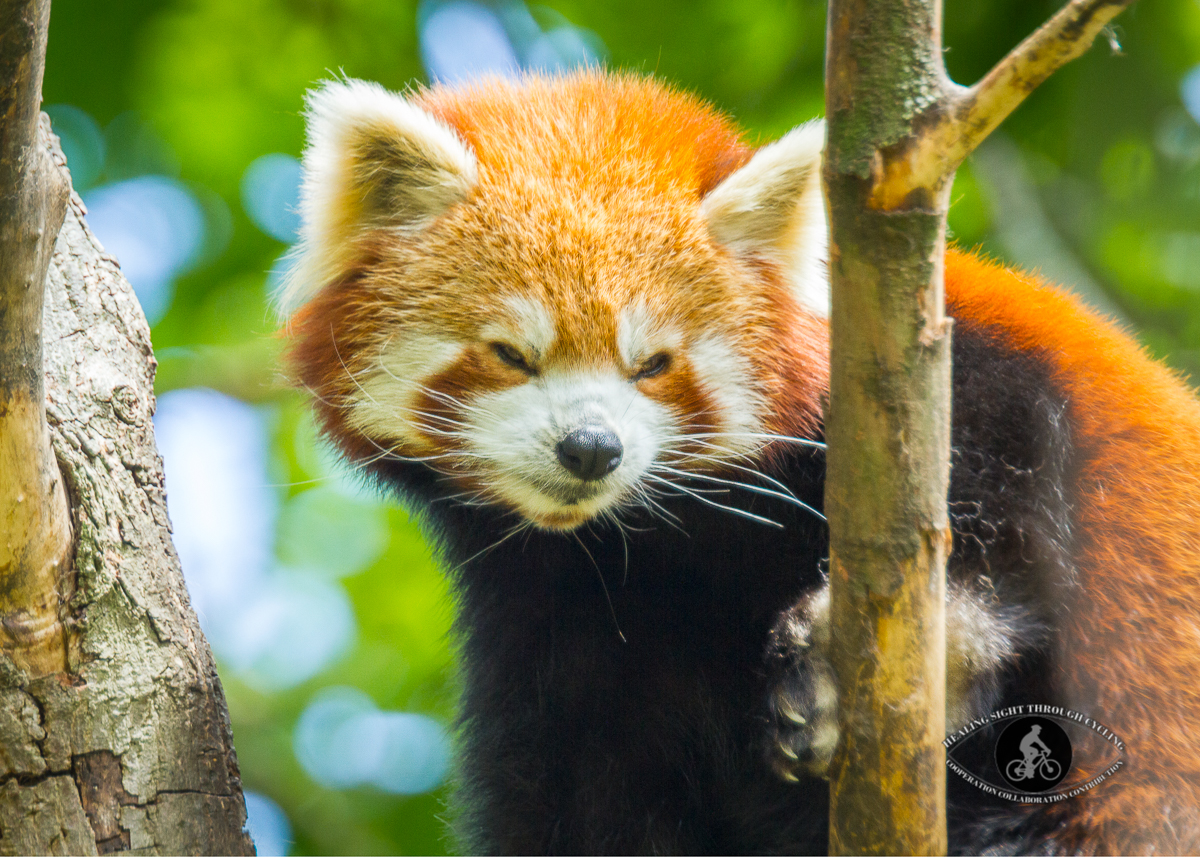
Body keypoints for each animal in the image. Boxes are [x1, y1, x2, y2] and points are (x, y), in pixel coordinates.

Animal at [280, 70, 1200, 849]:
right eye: (511, 354)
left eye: (654, 363)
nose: (591, 449)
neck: (670, 540)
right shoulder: (562, 616)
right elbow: (577, 794)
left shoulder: (966, 361)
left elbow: (1001, 497)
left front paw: (942, 645)